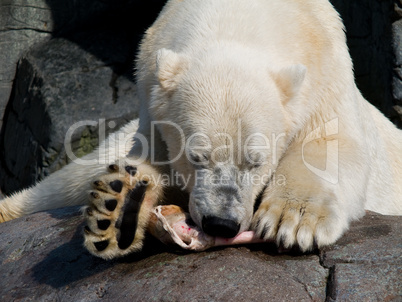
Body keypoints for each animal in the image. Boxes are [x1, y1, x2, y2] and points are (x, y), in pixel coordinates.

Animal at [0, 0, 402, 260]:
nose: (221, 223)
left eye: (256, 162)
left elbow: (331, 144)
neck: (240, 19)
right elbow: (146, 160)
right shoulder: (151, 101)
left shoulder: (326, 71)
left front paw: (294, 219)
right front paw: (121, 206)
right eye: (196, 157)